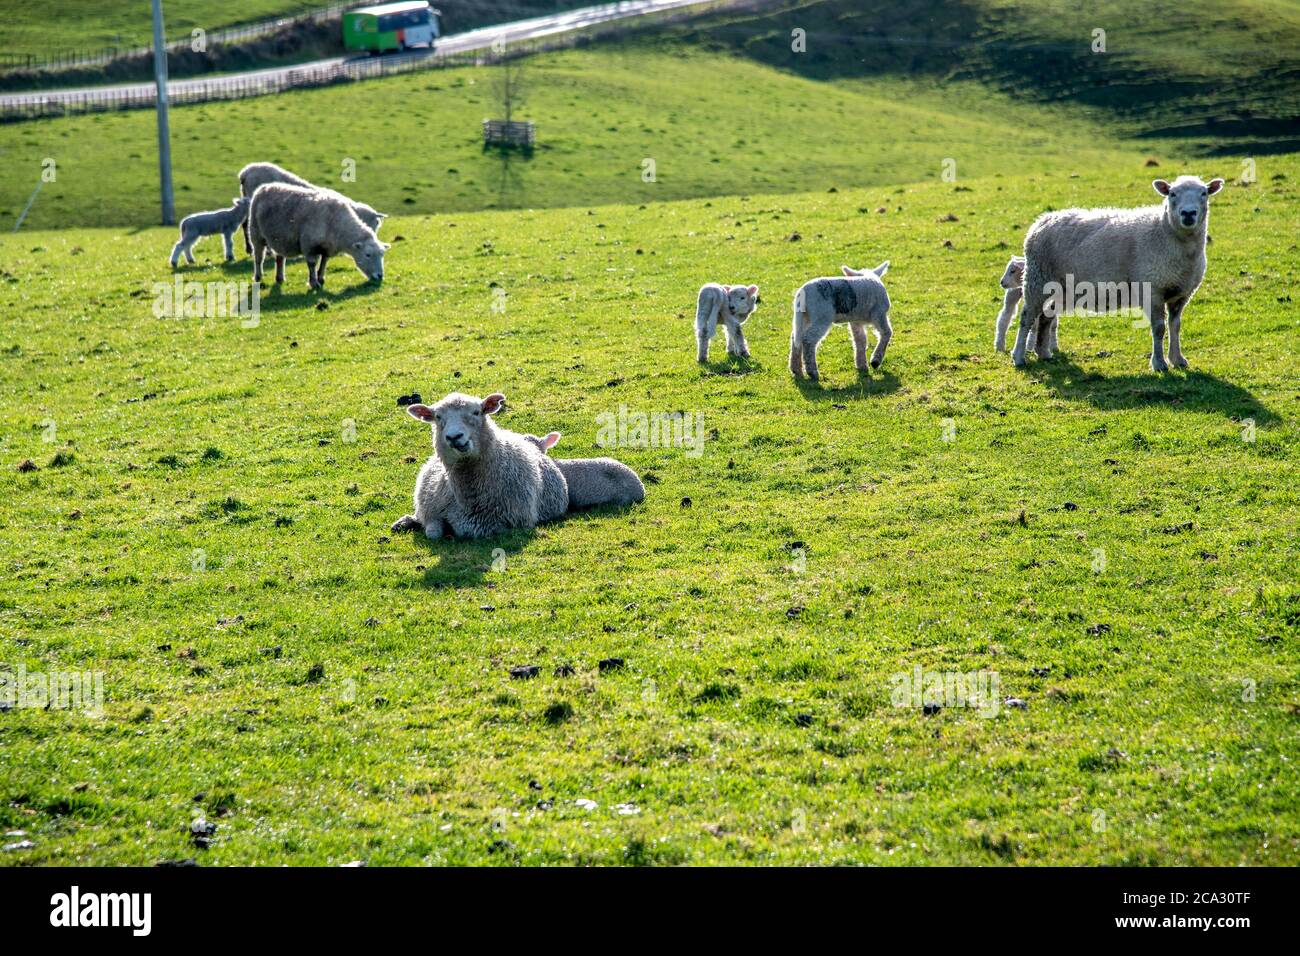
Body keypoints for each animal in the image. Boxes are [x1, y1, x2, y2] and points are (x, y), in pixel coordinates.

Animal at [247, 183, 387, 290]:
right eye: (368, 255)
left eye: (382, 255)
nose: (380, 276)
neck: (336, 223)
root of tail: (264, 187)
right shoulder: (309, 245)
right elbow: (312, 264)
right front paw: (314, 283)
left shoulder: (327, 247)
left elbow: (324, 263)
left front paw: (321, 278)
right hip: (256, 233)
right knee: (259, 257)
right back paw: (258, 276)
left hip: (280, 238)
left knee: (280, 258)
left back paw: (280, 278)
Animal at [391, 392, 569, 540]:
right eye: (438, 417)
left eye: (476, 412)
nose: (454, 437)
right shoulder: (432, 509)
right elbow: (433, 532)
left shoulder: (515, 522)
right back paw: (403, 523)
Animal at [1011, 175, 1224, 371]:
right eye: (1172, 194)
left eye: (1204, 193)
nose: (1188, 214)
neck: (1166, 232)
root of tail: (1041, 222)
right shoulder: (1152, 288)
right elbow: (1159, 328)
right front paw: (1159, 363)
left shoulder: (1181, 293)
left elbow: (1175, 326)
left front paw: (1178, 359)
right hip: (1037, 279)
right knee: (1027, 317)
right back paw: (1019, 357)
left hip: (1060, 288)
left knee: (1046, 317)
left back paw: (1043, 353)